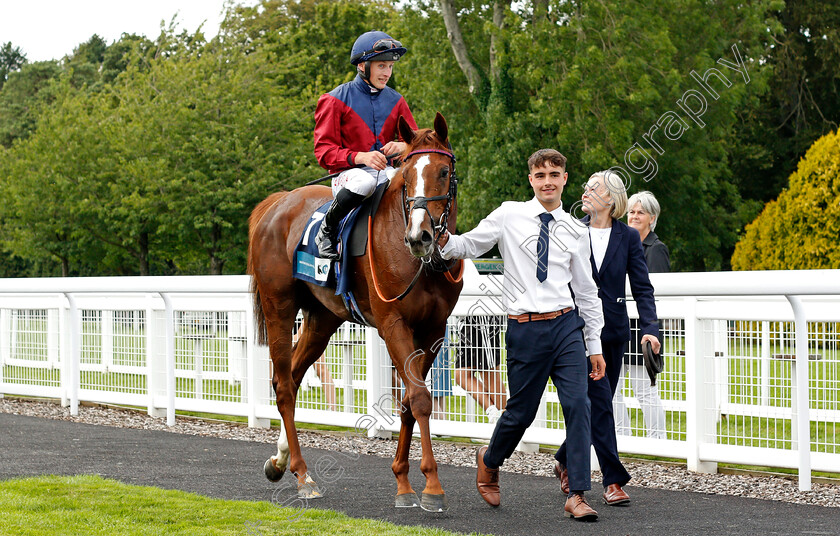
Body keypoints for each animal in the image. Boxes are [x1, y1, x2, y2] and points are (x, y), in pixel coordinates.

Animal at [246, 113, 462, 510]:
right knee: (283, 387)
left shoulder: (434, 330)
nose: (419, 236)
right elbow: (420, 399)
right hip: (278, 308)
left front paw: (403, 481)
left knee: (293, 378)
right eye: (407, 175)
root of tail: (278, 203)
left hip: (322, 319)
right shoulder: (393, 324)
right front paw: (431, 485)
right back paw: (303, 475)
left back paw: (280, 461)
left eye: (443, 171)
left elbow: (408, 400)